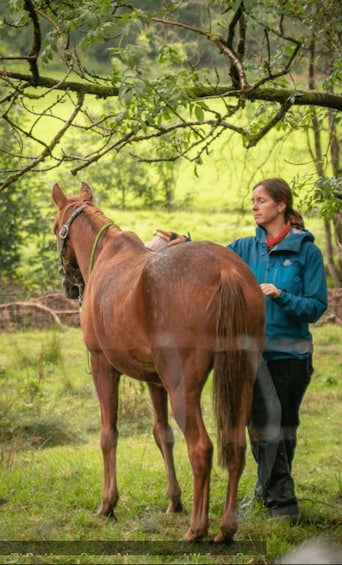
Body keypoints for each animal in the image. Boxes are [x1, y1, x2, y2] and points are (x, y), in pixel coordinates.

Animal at [51, 181, 264, 540]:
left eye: (55, 229)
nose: (68, 285)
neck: (108, 256)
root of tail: (225, 271)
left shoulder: (103, 367)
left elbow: (108, 434)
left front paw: (108, 504)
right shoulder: (154, 381)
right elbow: (162, 434)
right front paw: (174, 500)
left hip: (183, 389)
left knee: (201, 449)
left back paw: (197, 529)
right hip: (242, 380)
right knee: (234, 446)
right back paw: (225, 527)